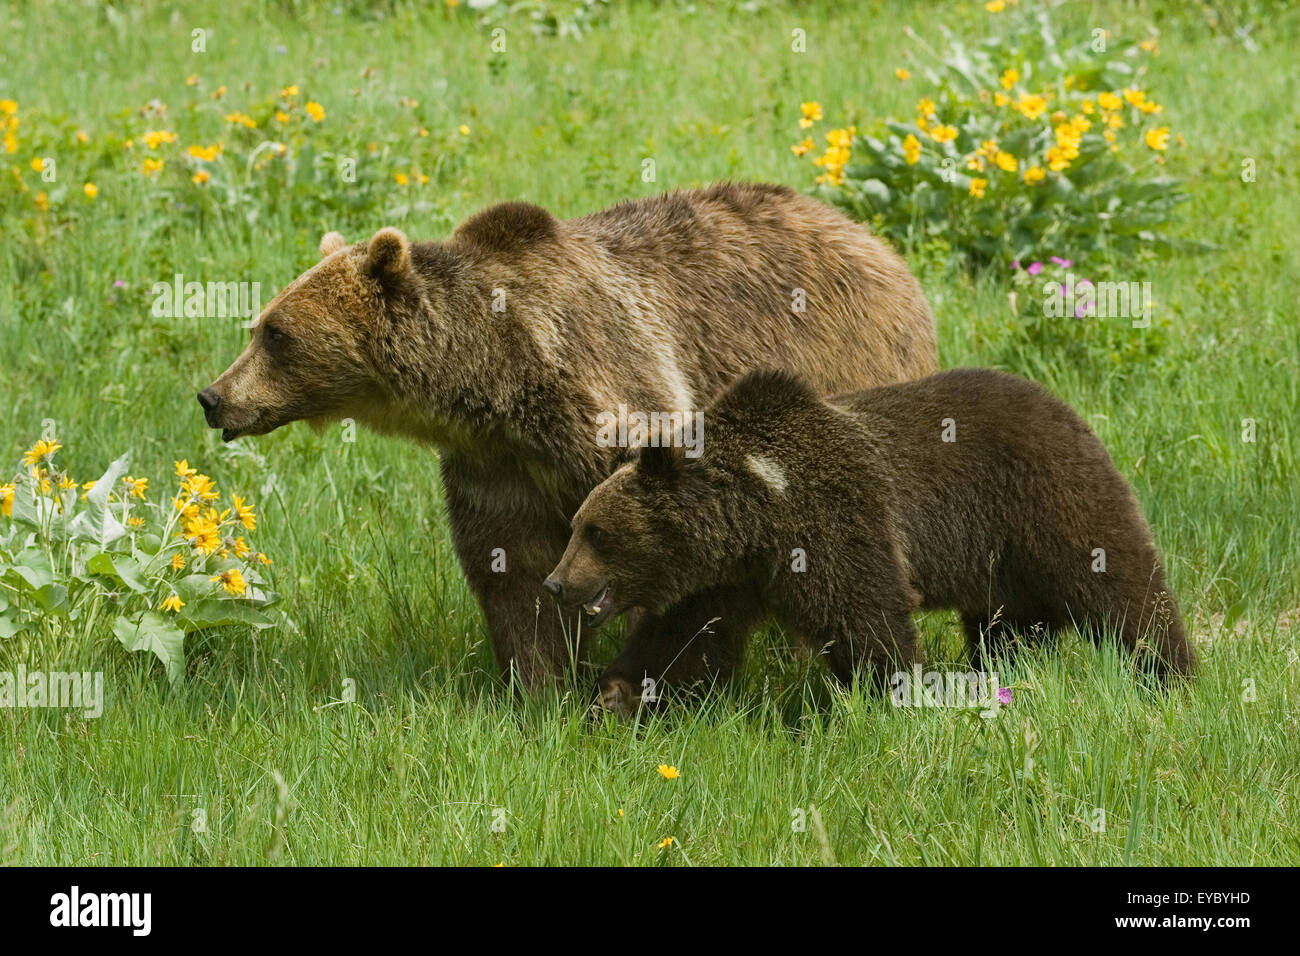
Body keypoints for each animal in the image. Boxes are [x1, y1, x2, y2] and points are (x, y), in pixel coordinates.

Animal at [200, 183, 935, 686]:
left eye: (277, 333)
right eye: (258, 324)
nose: (213, 398)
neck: (501, 380)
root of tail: (880, 244)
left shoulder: (615, 404)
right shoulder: (496, 468)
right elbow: (515, 576)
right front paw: (540, 690)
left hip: (850, 370)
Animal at [543, 369, 1190, 712]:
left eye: (596, 532)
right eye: (578, 525)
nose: (553, 583)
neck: (759, 516)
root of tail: (1065, 407)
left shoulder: (835, 524)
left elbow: (867, 619)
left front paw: (892, 697)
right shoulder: (728, 577)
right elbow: (685, 640)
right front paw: (618, 694)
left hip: (1048, 504)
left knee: (1120, 589)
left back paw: (1171, 673)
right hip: (1001, 566)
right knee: (1008, 628)